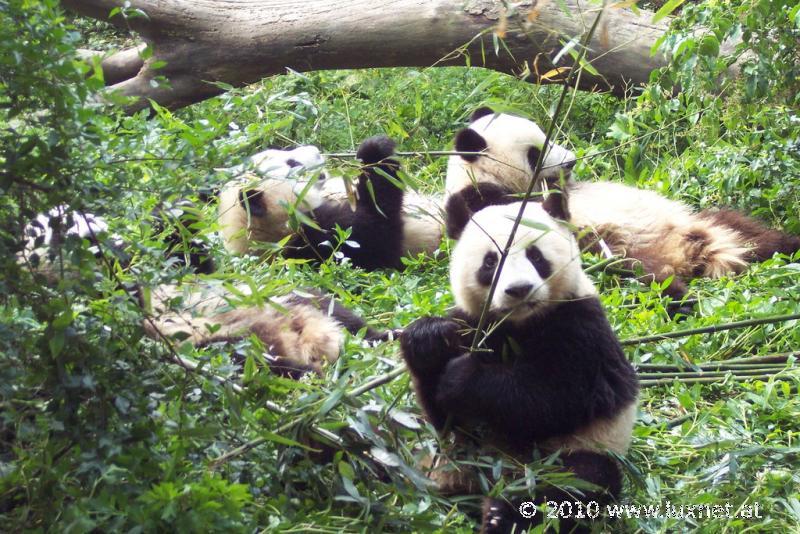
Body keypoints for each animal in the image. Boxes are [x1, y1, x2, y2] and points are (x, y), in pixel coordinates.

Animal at [400, 188, 636, 534]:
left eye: (536, 256)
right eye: (490, 262)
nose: (519, 290)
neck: (518, 323)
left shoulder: (580, 326)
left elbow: (554, 398)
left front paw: (463, 378)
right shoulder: (473, 324)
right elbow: (444, 417)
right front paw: (428, 341)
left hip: (577, 447)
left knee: (579, 481)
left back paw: (504, 514)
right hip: (441, 457)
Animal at [444, 105, 800, 306]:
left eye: (547, 135)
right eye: (536, 153)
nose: (571, 161)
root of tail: (690, 255)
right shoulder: (481, 203)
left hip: (703, 221)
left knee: (759, 236)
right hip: (613, 250)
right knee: (639, 276)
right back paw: (680, 301)